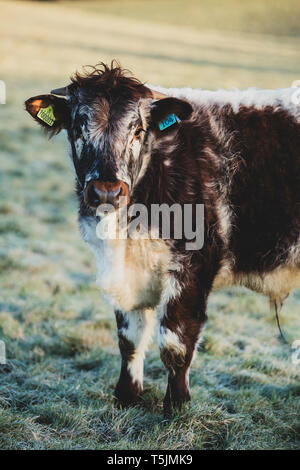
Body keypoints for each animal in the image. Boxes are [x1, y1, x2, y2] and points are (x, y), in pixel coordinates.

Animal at [25, 63, 300, 414]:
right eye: (78, 127)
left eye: (138, 130)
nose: (106, 191)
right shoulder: (125, 274)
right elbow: (129, 339)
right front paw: (127, 396)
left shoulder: (193, 268)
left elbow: (175, 342)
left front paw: (177, 406)